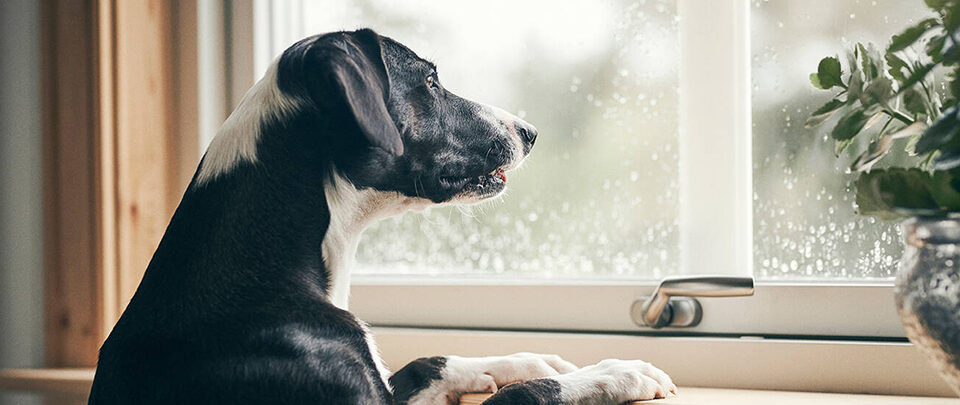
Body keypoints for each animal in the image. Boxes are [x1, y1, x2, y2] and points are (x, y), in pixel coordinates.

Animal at [88, 26, 676, 402]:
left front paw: (520, 361)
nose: (529, 133)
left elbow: (426, 362)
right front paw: (613, 372)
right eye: (431, 82)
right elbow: (523, 397)